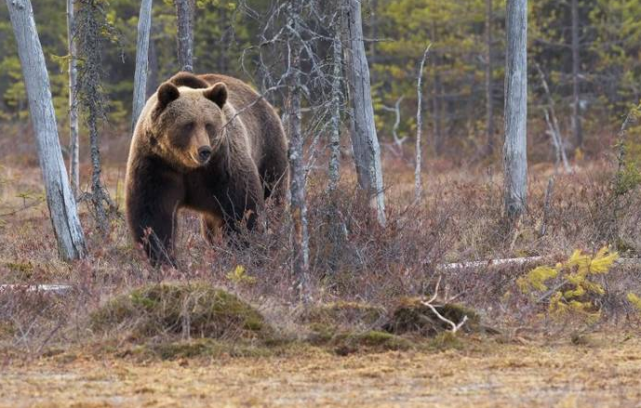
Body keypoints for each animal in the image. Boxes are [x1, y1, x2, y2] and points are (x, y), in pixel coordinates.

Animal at [124, 71, 288, 266]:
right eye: (188, 124)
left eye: (209, 124)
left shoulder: (222, 165)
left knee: (273, 195)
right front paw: (163, 260)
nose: (204, 150)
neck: (186, 165)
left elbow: (241, 209)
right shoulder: (156, 164)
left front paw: (243, 251)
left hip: (267, 149)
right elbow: (153, 215)